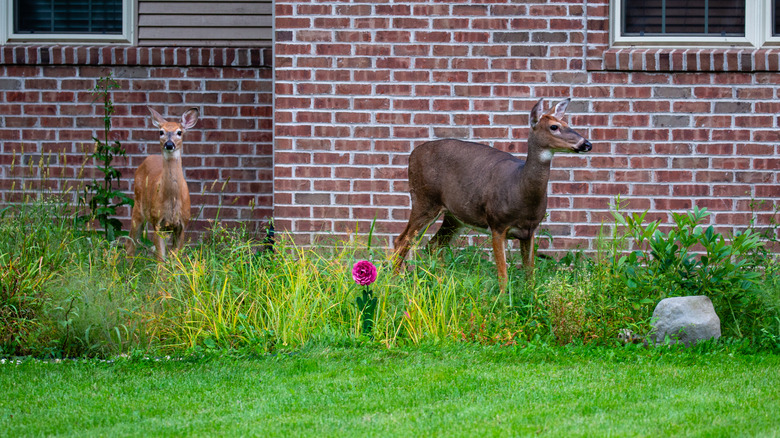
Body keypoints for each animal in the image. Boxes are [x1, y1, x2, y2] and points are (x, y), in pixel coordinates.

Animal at [126, 108, 200, 262]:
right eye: (161, 132)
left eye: (179, 132)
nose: (169, 144)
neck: (172, 199)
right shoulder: (157, 222)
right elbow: (161, 260)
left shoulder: (182, 224)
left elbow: (175, 259)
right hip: (138, 207)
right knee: (130, 244)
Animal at [394, 99, 596, 290]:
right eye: (554, 126)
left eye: (566, 122)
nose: (587, 144)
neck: (519, 187)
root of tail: (412, 155)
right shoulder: (497, 224)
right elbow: (503, 275)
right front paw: (503, 301)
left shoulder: (530, 230)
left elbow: (530, 273)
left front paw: (530, 297)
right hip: (424, 199)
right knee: (402, 240)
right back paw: (396, 283)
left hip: (454, 216)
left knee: (434, 245)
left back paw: (443, 283)